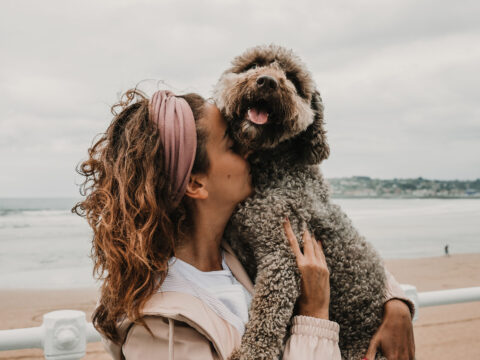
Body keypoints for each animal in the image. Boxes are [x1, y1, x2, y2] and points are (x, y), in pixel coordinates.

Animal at [214, 45, 390, 360]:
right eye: (254, 64)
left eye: (293, 80)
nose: (268, 82)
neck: (274, 167)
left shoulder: (282, 255)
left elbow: (267, 316)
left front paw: (251, 353)